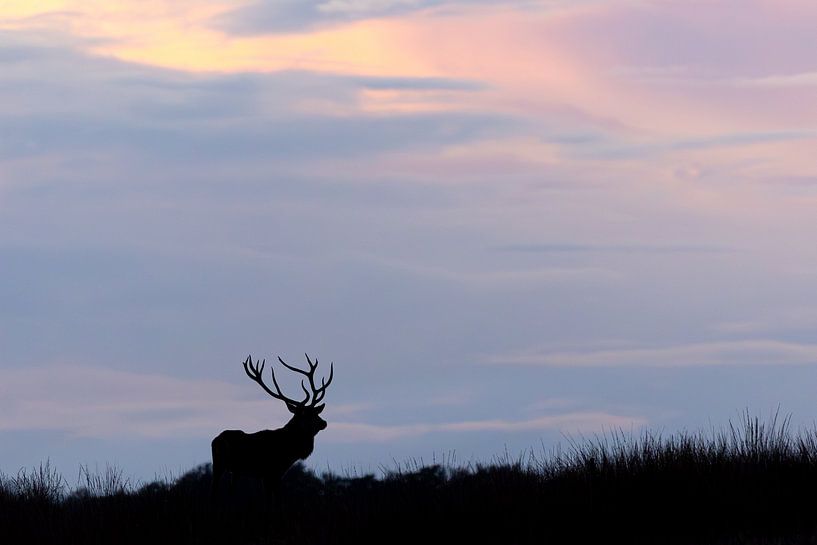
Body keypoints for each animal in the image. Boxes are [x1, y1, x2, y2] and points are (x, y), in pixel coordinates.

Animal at [211, 353, 334, 498]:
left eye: (316, 412)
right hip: (219, 465)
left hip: (233, 470)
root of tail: (215, 440)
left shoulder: (274, 474)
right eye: (305, 414)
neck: (289, 452)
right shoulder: (270, 471)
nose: (323, 423)